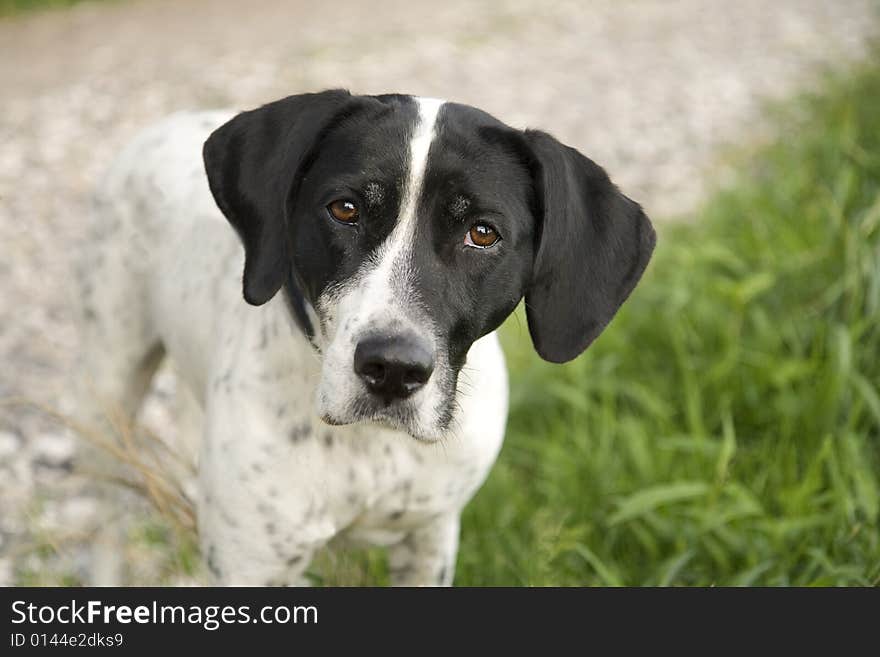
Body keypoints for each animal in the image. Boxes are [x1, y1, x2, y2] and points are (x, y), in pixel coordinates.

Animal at [75, 88, 652, 584]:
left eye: (483, 233)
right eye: (345, 209)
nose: (393, 369)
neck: (372, 446)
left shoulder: (430, 540)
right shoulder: (252, 566)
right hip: (111, 393)